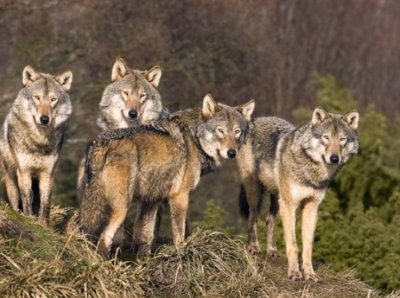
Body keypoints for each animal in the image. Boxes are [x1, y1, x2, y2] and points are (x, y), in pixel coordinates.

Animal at [0, 65, 73, 224]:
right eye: (37, 97)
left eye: (53, 99)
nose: (44, 119)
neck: (39, 140)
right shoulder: (24, 171)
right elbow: (27, 198)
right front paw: (29, 218)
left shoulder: (48, 173)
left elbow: (45, 203)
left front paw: (43, 224)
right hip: (11, 176)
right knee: (16, 199)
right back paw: (18, 213)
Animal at [78, 94, 255, 258]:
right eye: (220, 130)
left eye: (237, 132)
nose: (232, 153)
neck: (195, 139)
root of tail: (100, 143)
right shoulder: (179, 196)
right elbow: (180, 233)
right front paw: (181, 253)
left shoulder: (151, 200)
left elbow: (145, 237)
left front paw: (144, 262)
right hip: (122, 207)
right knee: (104, 238)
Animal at [238, 107, 360, 282]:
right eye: (326, 137)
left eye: (342, 139)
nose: (334, 158)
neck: (312, 172)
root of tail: (256, 120)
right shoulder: (290, 206)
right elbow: (293, 245)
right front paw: (295, 273)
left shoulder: (311, 207)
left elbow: (308, 246)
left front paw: (309, 273)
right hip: (256, 192)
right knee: (253, 217)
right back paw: (254, 247)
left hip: (277, 199)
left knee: (269, 221)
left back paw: (272, 250)